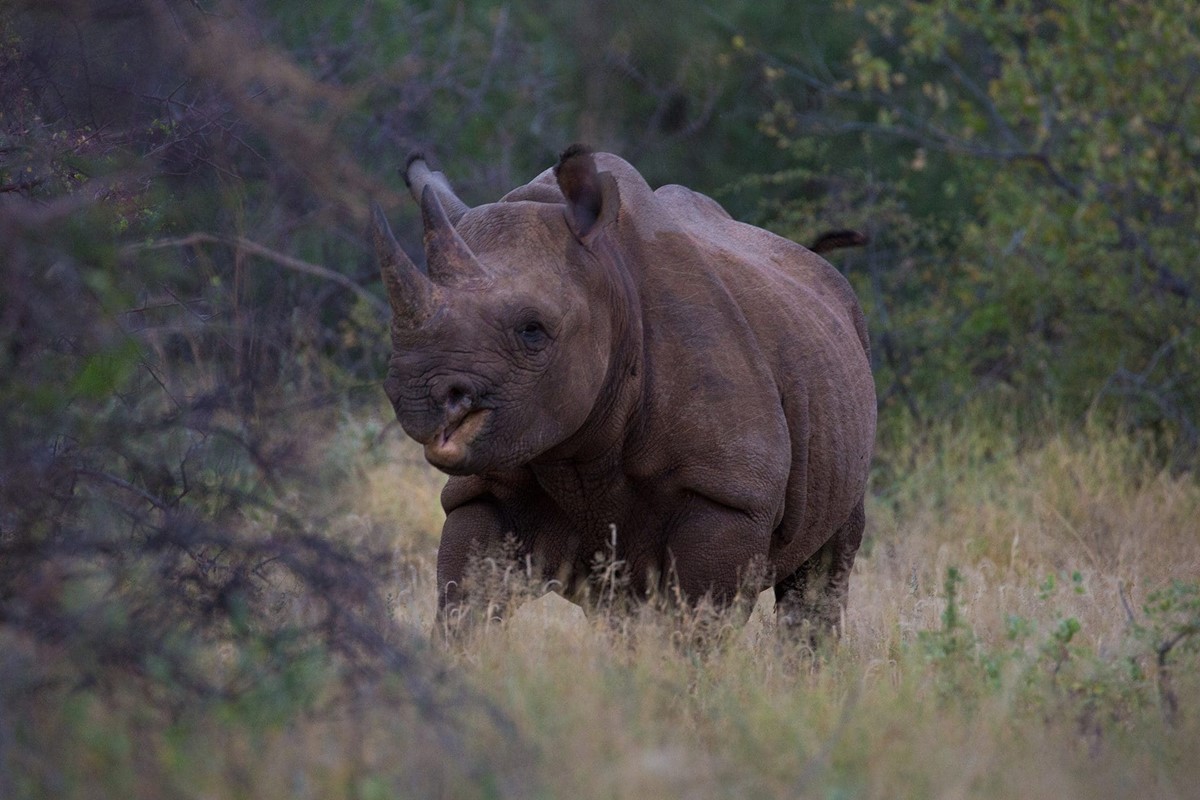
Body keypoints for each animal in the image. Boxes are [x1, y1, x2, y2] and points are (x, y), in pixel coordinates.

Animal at [372, 146, 876, 638]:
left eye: (533, 331)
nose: (418, 396)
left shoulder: (731, 494)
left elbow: (698, 625)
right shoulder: (487, 481)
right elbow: (464, 602)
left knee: (823, 571)